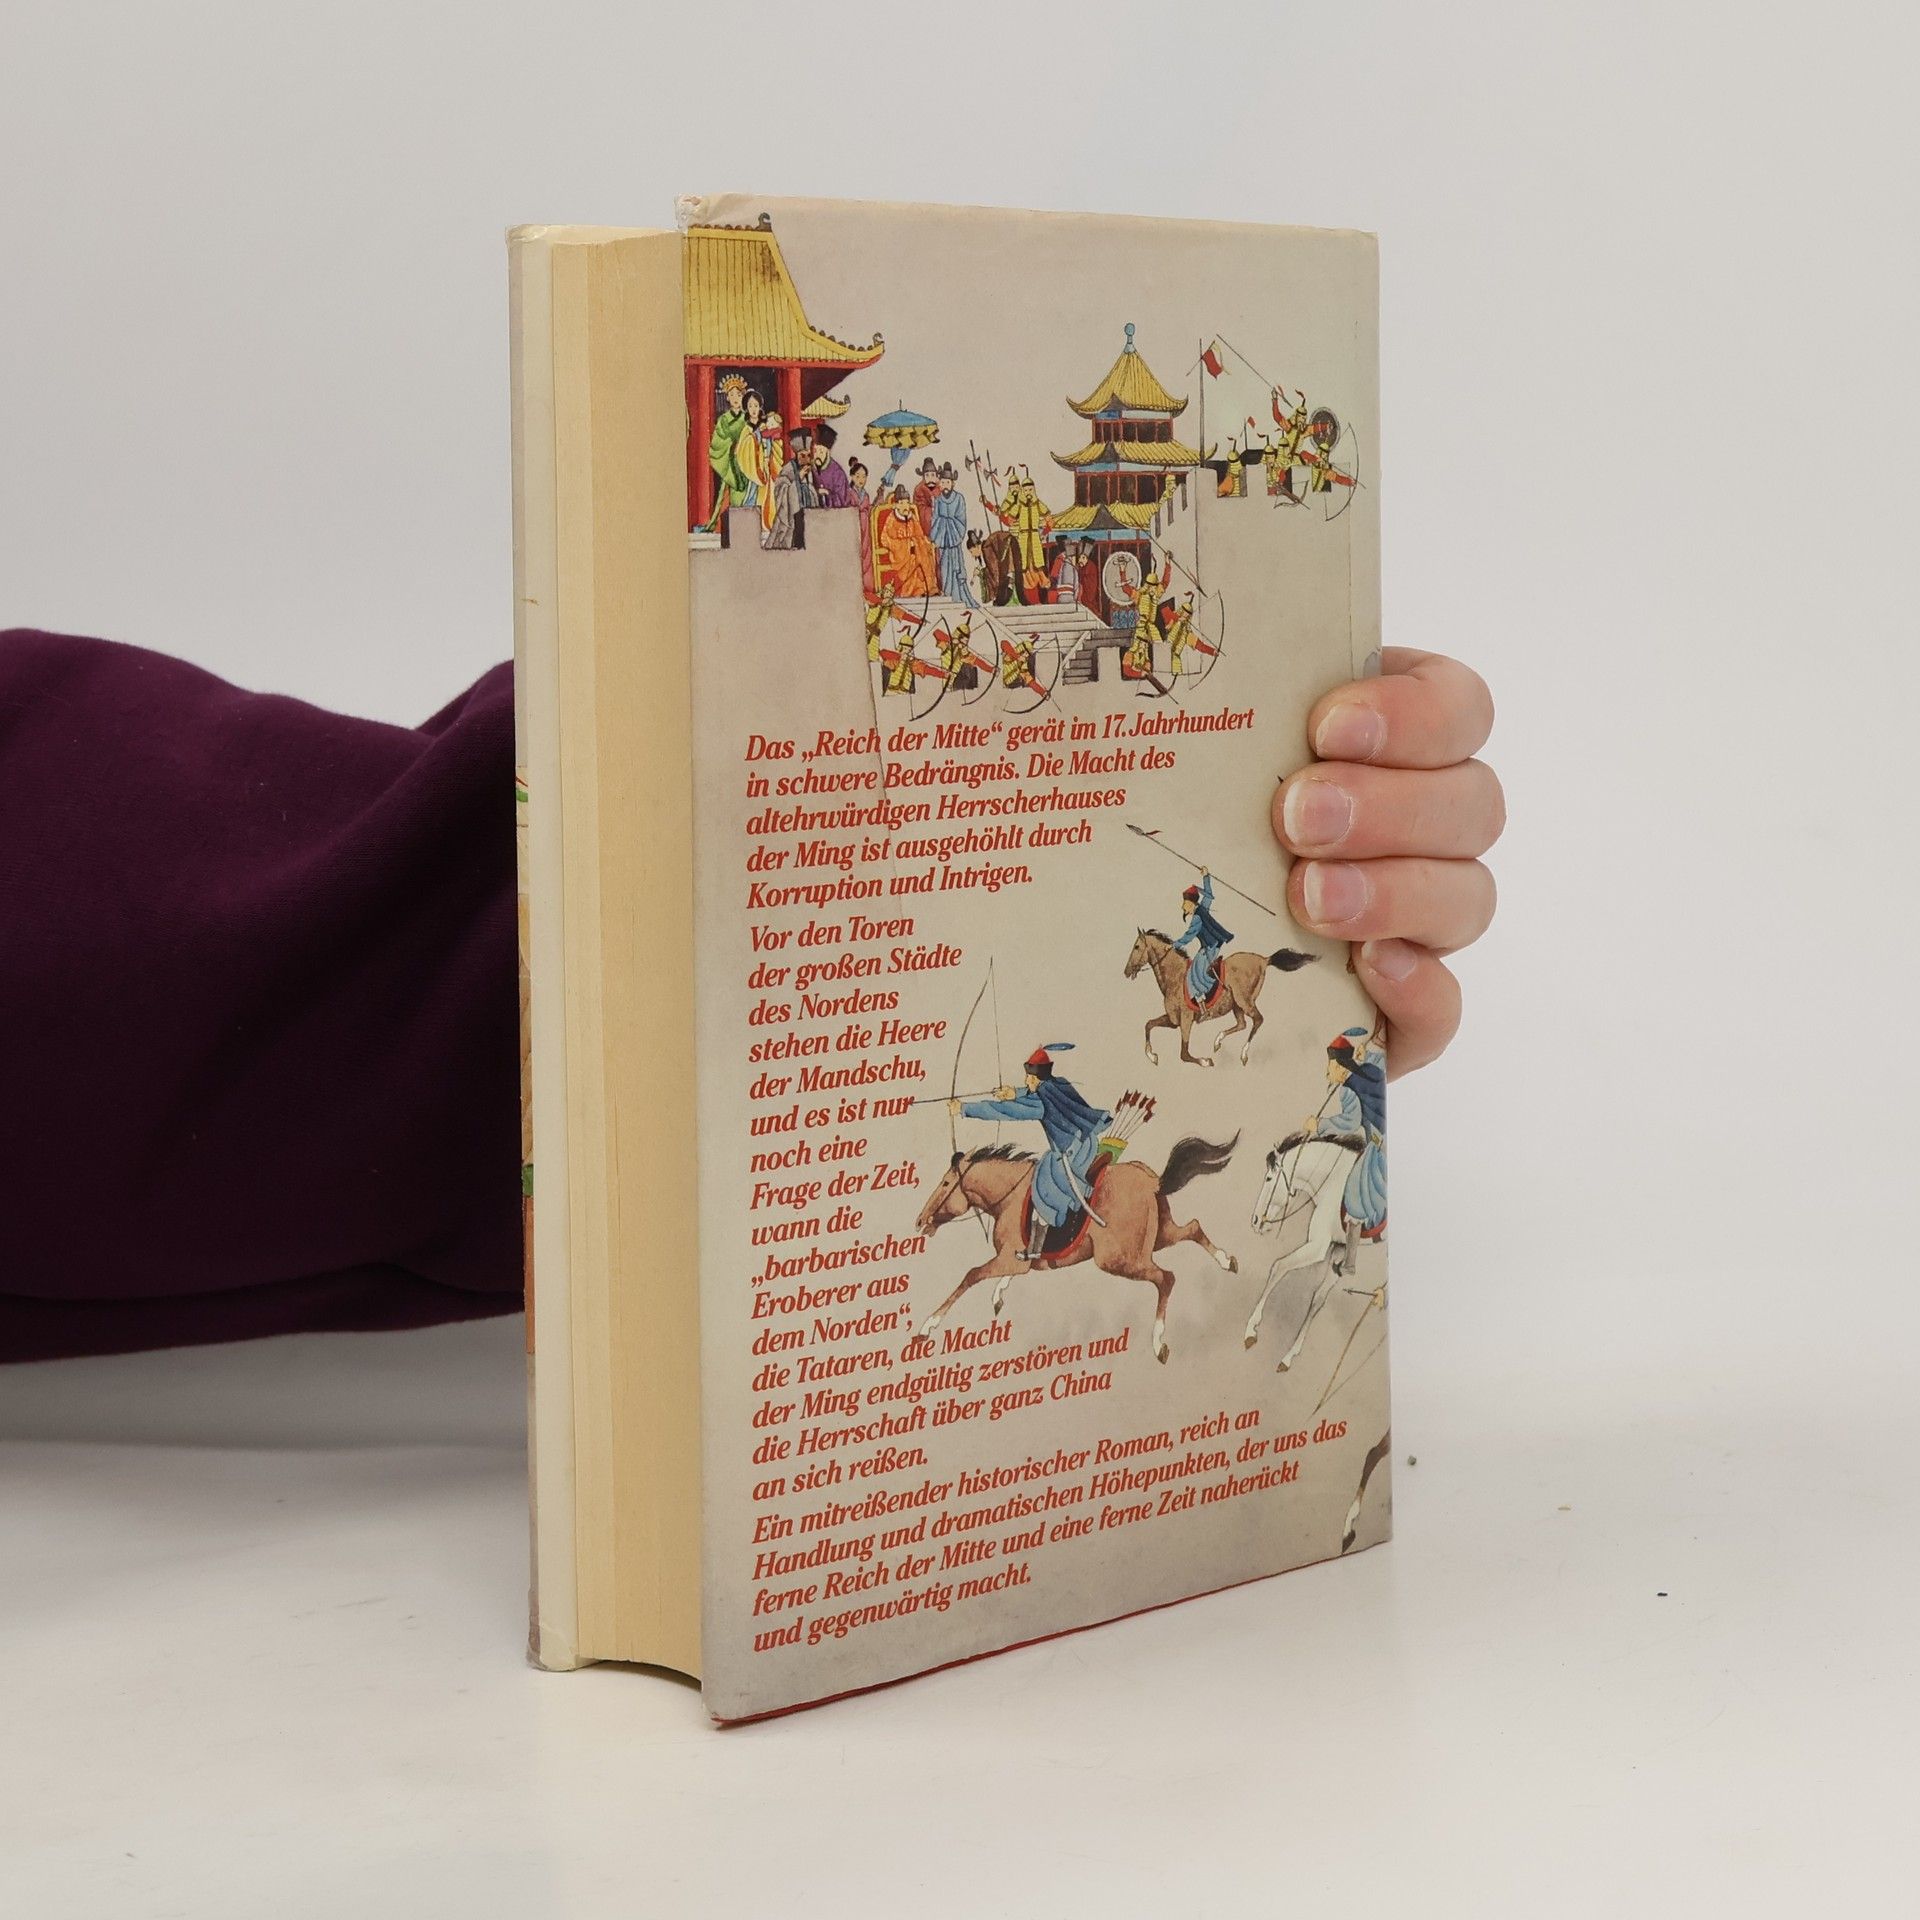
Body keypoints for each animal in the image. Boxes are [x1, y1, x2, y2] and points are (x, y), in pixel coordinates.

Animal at [910, 1133, 1240, 1363]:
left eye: (946, 1183)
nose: (920, 1220)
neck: (1009, 1195)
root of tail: (1153, 1181)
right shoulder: (1016, 1261)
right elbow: (1003, 1273)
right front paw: (998, 1295)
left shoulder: (1007, 1260)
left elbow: (971, 1275)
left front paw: (928, 1326)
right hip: (1159, 1236)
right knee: (1193, 1227)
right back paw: (1227, 1261)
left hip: (1117, 1259)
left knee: (1166, 1278)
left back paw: (1159, 1344)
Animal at [1122, 929, 1317, 1068]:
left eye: (1137, 947)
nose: (1126, 971)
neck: (1174, 975)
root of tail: (1264, 959)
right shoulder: (1173, 1020)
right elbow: (1149, 1024)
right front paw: (1152, 1056)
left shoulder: (1185, 1019)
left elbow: (1184, 1054)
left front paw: (1205, 1061)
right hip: (1237, 1005)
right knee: (1242, 1024)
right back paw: (1218, 1041)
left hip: (1244, 1001)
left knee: (1258, 1020)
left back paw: (1243, 1054)